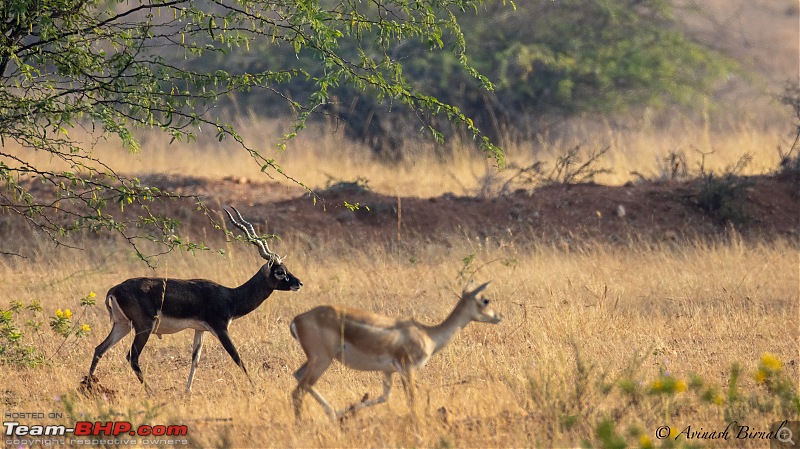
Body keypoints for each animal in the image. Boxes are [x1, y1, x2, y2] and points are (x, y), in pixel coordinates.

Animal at [86, 206, 302, 392]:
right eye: (280, 272)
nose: (298, 283)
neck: (231, 297)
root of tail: (114, 289)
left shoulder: (200, 330)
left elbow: (195, 359)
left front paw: (187, 391)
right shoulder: (221, 329)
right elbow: (237, 357)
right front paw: (256, 387)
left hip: (122, 325)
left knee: (99, 348)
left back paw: (88, 387)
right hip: (143, 327)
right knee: (132, 356)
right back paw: (151, 391)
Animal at [288, 280, 500, 420]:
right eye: (486, 300)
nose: (499, 317)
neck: (428, 335)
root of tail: (297, 320)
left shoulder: (388, 371)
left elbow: (384, 397)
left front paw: (348, 410)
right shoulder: (407, 368)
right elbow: (412, 398)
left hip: (315, 360)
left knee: (297, 376)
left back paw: (332, 413)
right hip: (322, 360)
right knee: (298, 391)